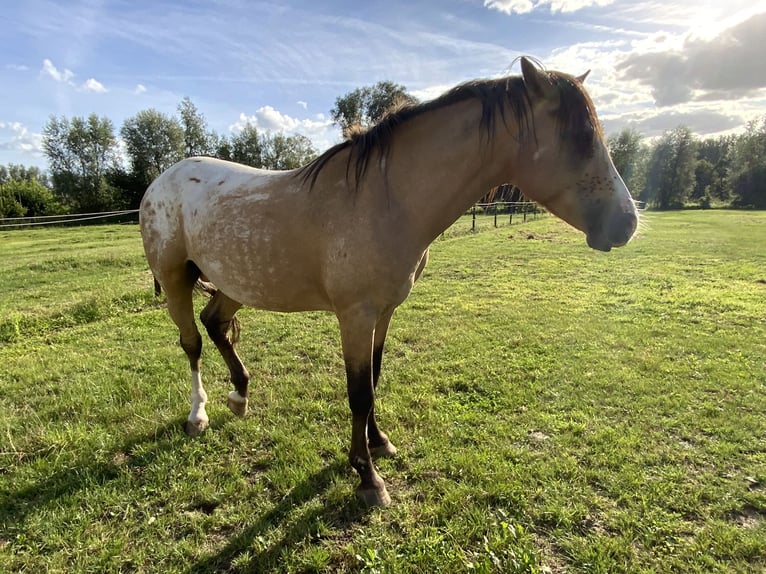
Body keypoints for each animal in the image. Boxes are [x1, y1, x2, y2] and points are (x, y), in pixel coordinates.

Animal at [141, 58, 640, 508]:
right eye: (579, 137)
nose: (627, 222)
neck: (385, 199)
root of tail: (162, 180)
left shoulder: (384, 312)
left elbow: (375, 380)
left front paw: (379, 443)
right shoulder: (355, 316)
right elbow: (358, 393)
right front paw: (367, 477)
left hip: (234, 284)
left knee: (215, 325)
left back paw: (240, 396)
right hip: (176, 280)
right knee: (192, 343)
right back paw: (198, 414)